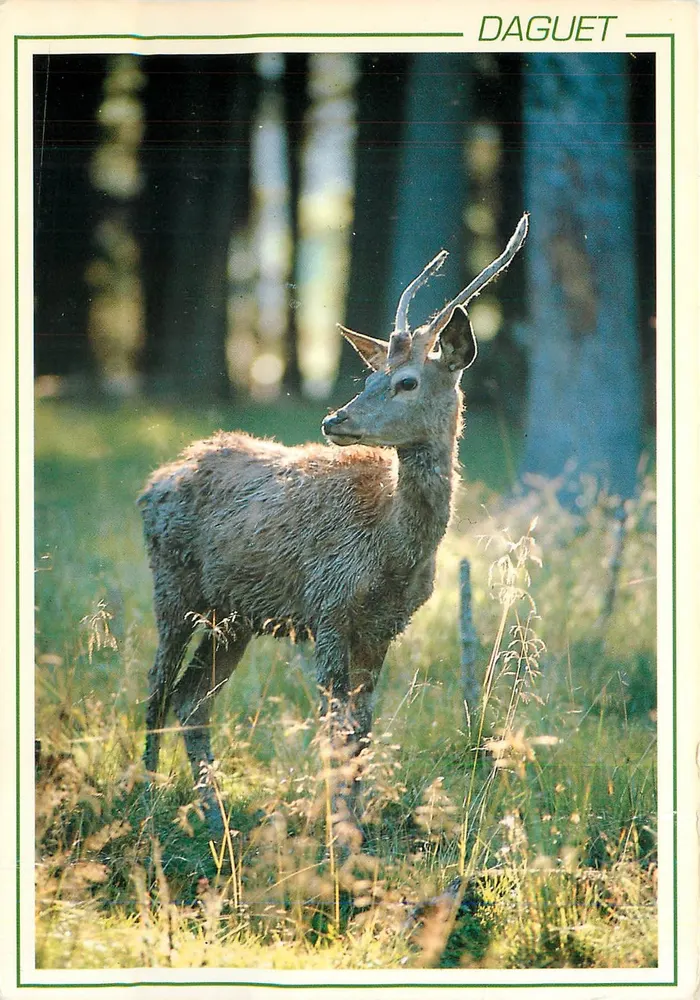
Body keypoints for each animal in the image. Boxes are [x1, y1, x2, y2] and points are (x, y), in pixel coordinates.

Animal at [138, 214, 528, 827]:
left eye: (407, 381)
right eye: (367, 380)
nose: (333, 420)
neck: (393, 550)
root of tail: (155, 482)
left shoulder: (382, 627)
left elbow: (362, 731)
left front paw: (357, 822)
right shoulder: (327, 609)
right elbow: (335, 731)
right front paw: (336, 826)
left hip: (233, 617)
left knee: (190, 699)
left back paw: (211, 809)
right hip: (173, 588)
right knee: (157, 691)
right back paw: (148, 796)